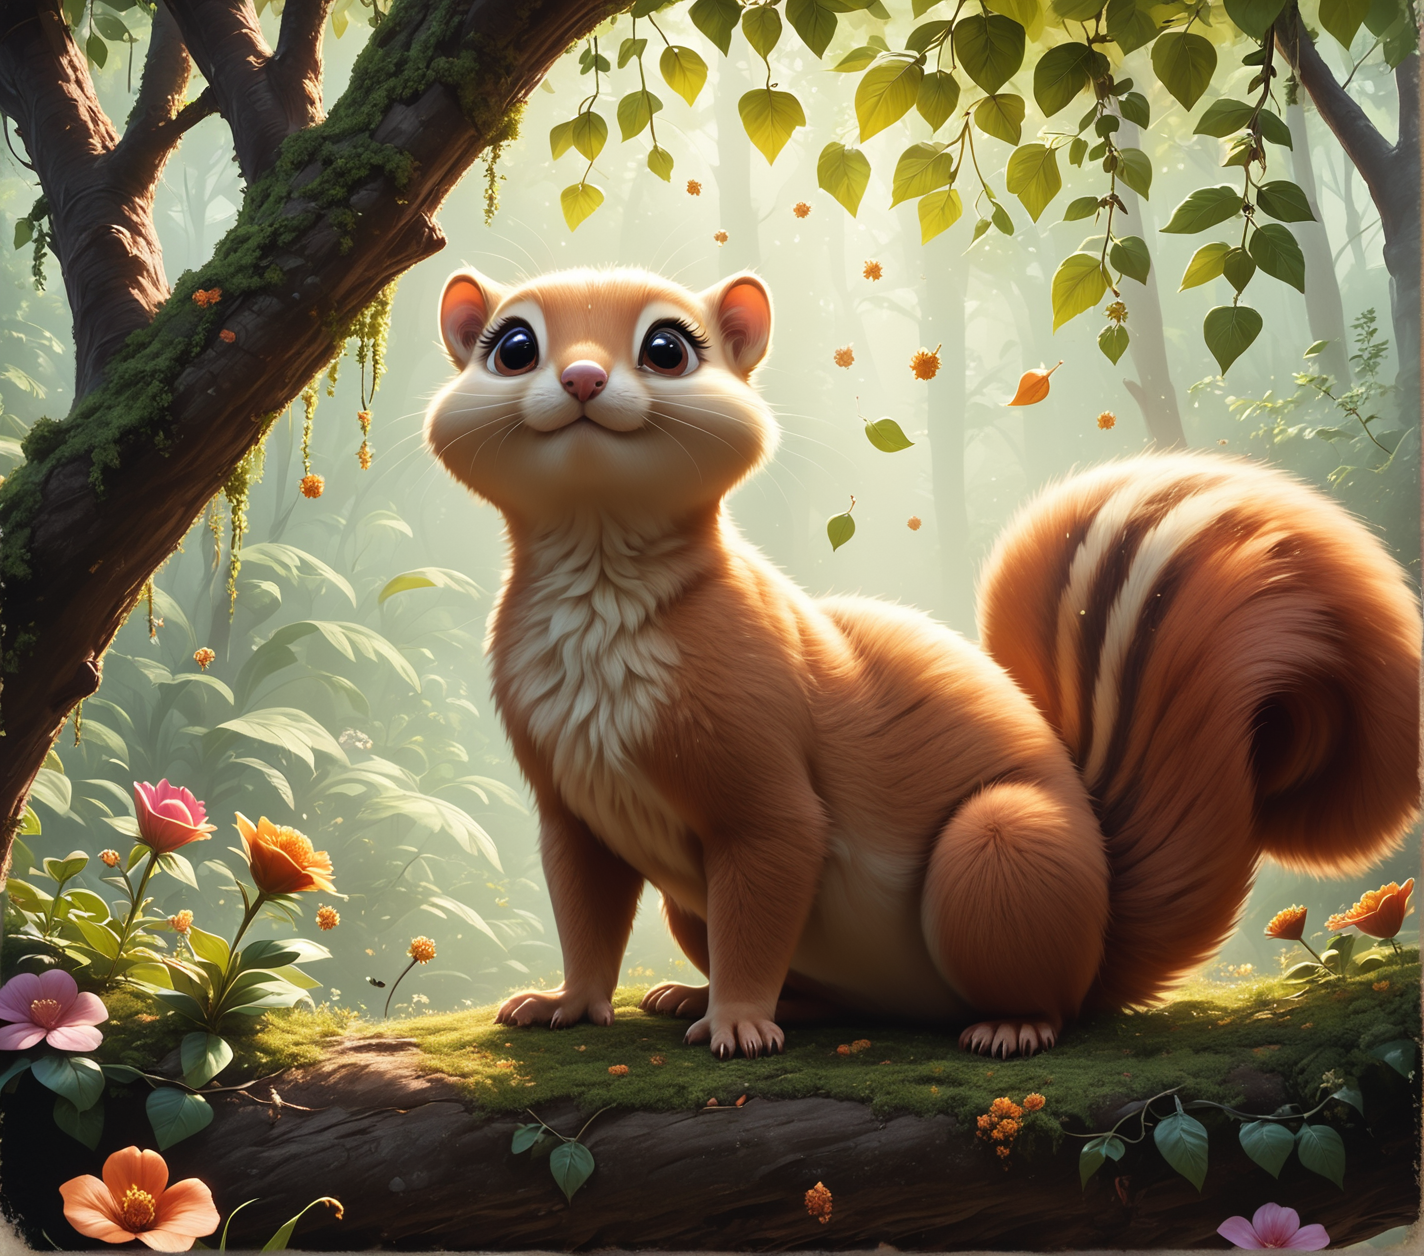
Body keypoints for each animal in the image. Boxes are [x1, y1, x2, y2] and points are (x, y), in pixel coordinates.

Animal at [425, 265, 1420, 1060]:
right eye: (511, 345)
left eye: (669, 348)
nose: (583, 377)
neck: (598, 578)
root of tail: (1102, 942)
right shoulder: (573, 808)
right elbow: (585, 913)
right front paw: (568, 1003)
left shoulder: (763, 788)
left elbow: (766, 884)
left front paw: (738, 1022)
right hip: (695, 907)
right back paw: (697, 992)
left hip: (1001, 853)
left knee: (1049, 1002)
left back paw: (1007, 1024)